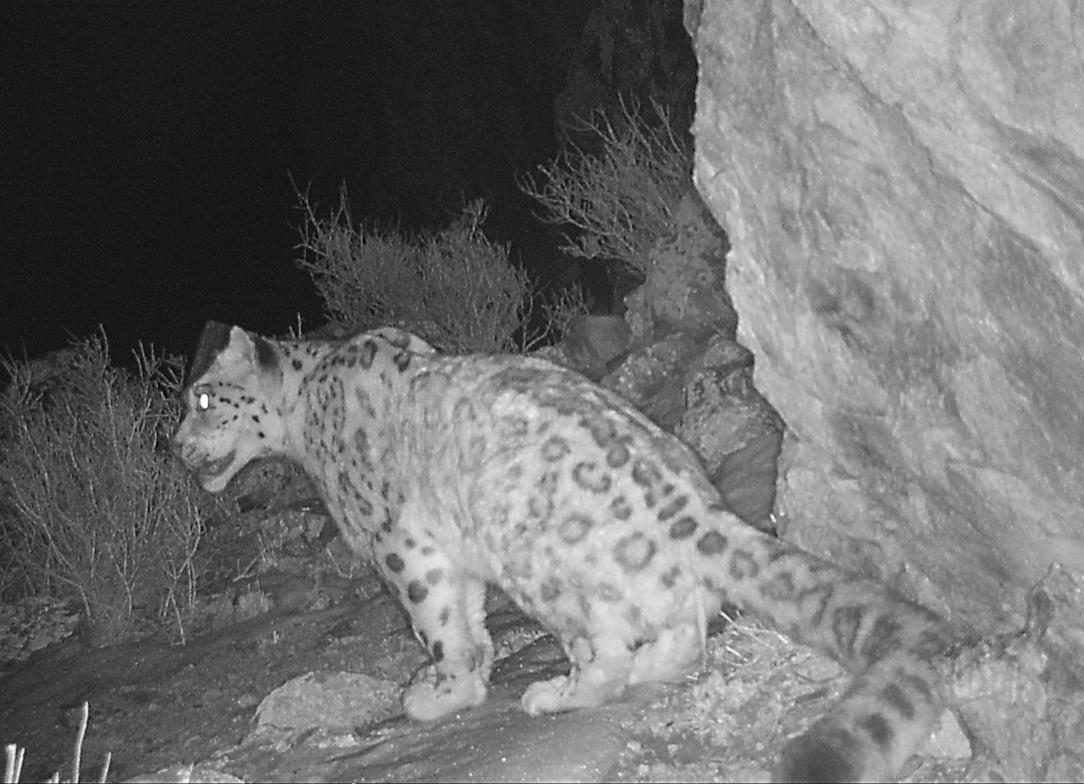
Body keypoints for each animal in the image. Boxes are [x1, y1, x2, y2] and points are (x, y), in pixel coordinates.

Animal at [172, 321, 954, 782]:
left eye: (203, 399)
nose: (175, 448)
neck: (307, 416)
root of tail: (696, 511)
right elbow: (468, 618)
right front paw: (469, 671)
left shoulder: (400, 544)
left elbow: (435, 621)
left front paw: (440, 693)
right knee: (684, 630)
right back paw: (647, 668)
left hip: (537, 564)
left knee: (603, 648)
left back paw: (560, 691)